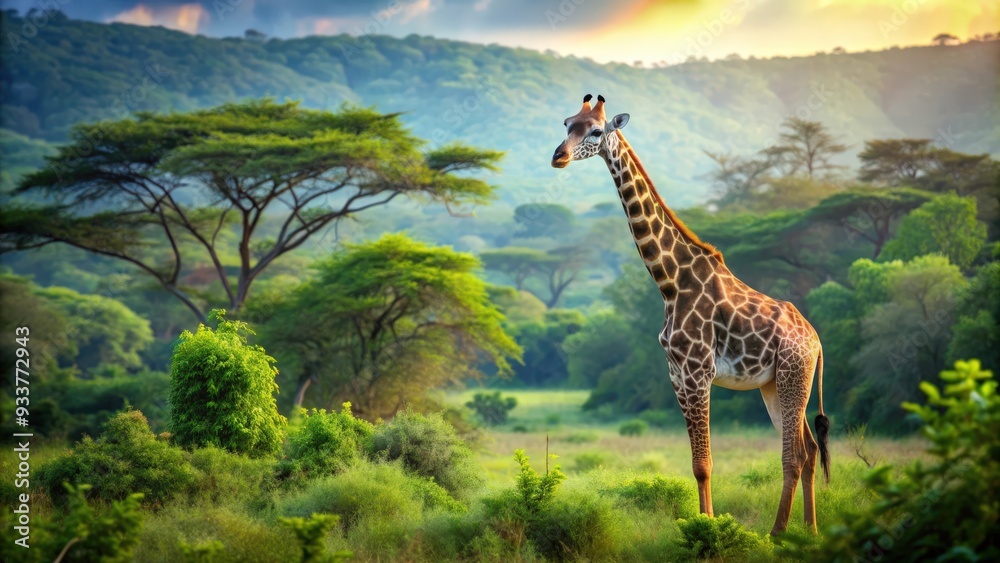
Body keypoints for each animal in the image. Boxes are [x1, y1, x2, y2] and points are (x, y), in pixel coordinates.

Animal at [551, 94, 831, 535]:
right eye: (566, 123)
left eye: (595, 130)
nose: (558, 157)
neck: (669, 281)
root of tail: (816, 340)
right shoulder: (677, 373)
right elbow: (697, 464)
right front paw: (702, 523)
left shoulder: (698, 370)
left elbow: (705, 463)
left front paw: (710, 529)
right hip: (776, 385)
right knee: (810, 448)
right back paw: (810, 531)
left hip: (793, 375)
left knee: (795, 455)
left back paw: (778, 533)